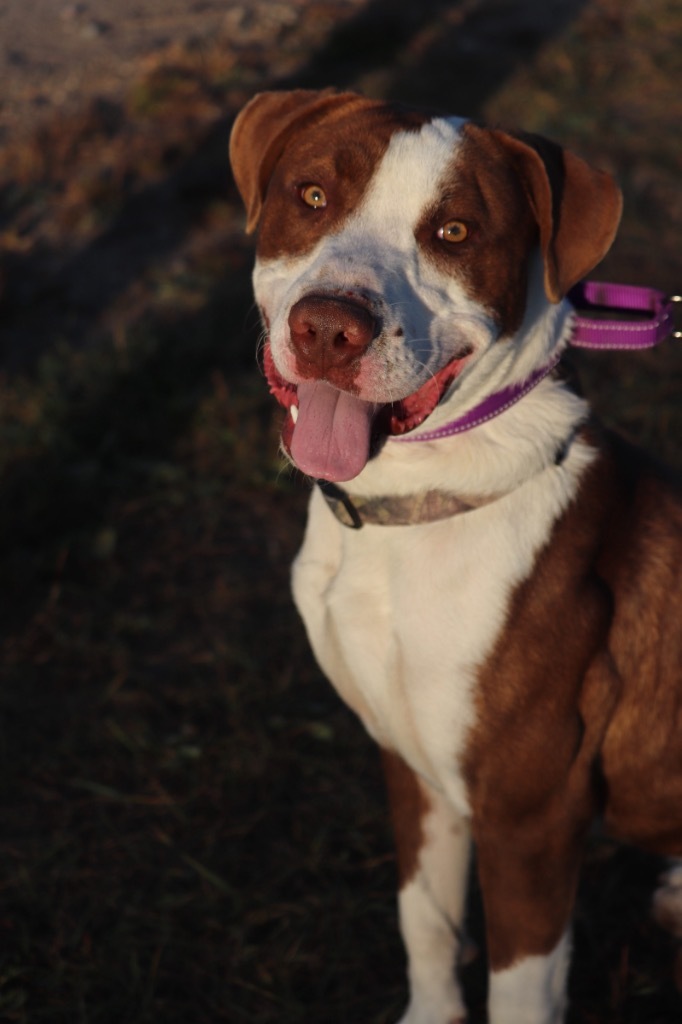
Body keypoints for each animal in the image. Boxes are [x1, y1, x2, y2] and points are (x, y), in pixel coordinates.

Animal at [228, 90, 679, 1024]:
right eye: (312, 196)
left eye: (456, 233)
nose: (328, 328)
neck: (404, 507)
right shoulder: (417, 772)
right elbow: (427, 923)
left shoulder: (530, 821)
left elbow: (519, 991)